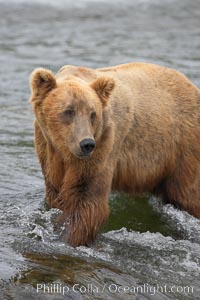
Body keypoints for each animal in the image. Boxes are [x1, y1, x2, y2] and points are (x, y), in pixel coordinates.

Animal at [28, 62, 200, 246]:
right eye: (68, 111)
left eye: (93, 114)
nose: (86, 144)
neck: (64, 149)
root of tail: (191, 86)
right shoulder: (46, 146)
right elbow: (56, 192)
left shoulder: (104, 141)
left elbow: (86, 197)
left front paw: (66, 236)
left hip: (182, 147)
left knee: (188, 194)